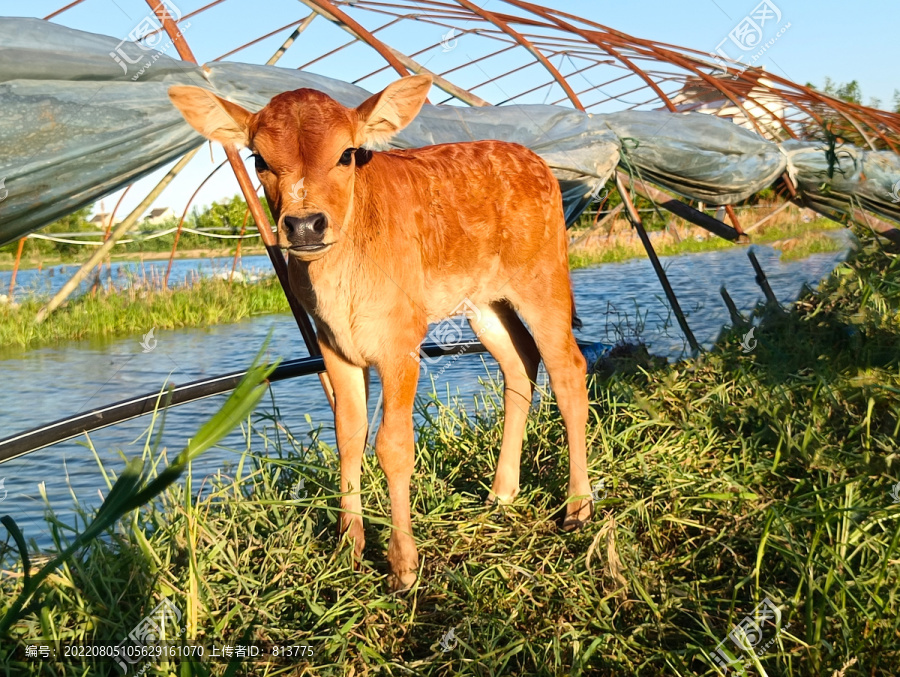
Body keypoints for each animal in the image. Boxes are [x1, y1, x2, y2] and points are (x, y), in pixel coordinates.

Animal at [168, 75, 592, 592]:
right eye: (258, 160)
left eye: (348, 154)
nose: (305, 225)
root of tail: (533, 159)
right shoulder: (334, 347)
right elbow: (348, 436)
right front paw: (347, 548)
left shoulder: (400, 342)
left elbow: (393, 444)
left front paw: (403, 565)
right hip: (483, 304)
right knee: (520, 364)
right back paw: (502, 493)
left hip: (543, 280)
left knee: (568, 369)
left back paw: (578, 507)